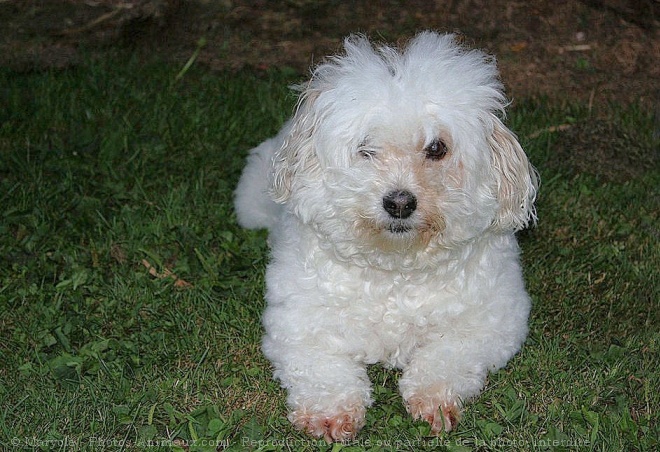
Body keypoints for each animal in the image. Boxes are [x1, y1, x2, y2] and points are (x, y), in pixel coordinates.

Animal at [235, 30, 540, 442]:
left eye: (437, 148)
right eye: (366, 148)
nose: (399, 203)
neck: (396, 267)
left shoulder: (492, 323)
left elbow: (446, 357)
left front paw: (433, 398)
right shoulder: (299, 325)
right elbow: (322, 370)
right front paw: (329, 412)